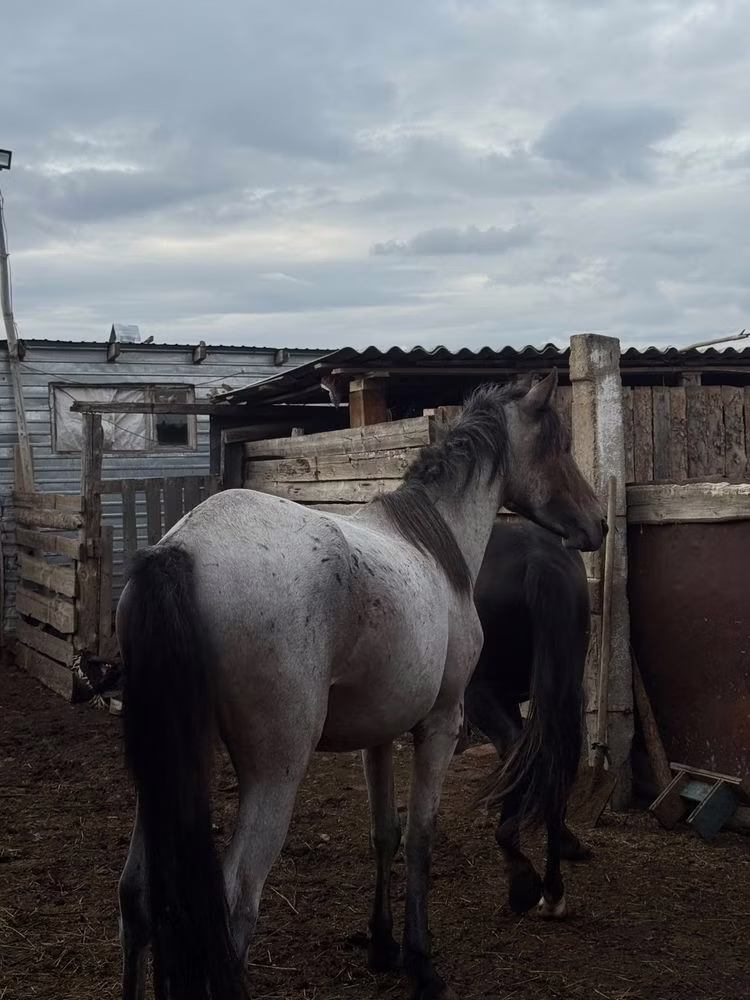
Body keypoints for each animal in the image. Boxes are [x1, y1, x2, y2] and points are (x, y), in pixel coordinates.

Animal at [463, 519, 592, 922]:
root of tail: (537, 559)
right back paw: (554, 890)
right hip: (564, 692)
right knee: (553, 761)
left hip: (482, 692)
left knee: (516, 750)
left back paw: (520, 876)